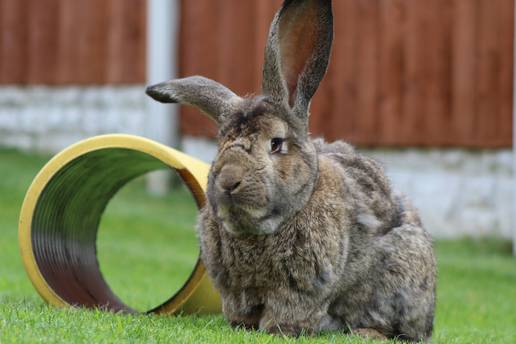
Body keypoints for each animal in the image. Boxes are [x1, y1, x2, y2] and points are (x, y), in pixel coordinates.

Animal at [146, 0, 436, 342]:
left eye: (276, 144)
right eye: (221, 144)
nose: (229, 181)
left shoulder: (302, 288)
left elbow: (289, 312)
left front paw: (278, 330)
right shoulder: (235, 290)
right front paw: (242, 325)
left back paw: (366, 333)